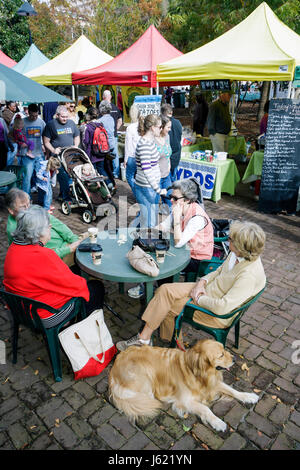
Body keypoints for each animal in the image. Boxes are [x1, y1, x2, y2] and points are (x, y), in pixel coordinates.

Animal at [109, 338, 258, 434]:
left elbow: (233, 390)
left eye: (224, 349)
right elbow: (205, 409)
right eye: (221, 355)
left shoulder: (212, 383)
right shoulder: (185, 400)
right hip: (146, 374)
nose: (235, 359)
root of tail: (114, 366)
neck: (197, 373)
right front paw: (217, 422)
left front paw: (249, 396)